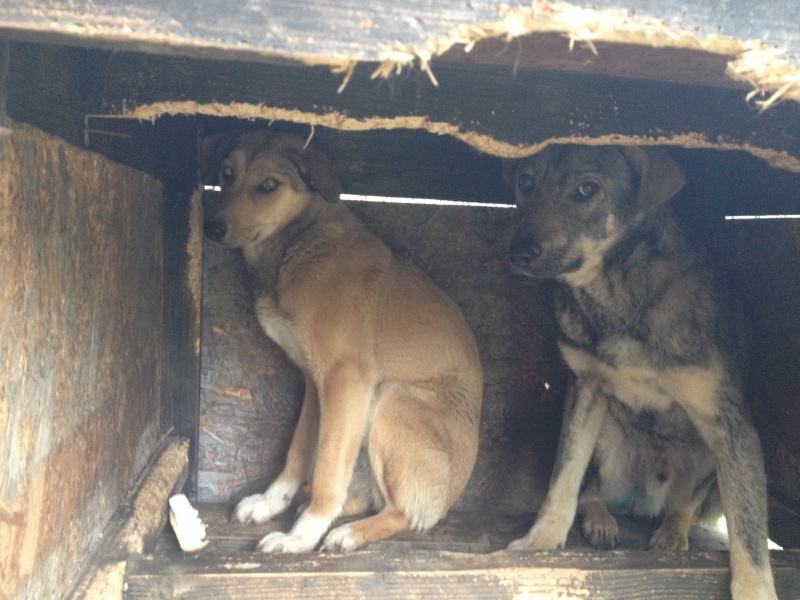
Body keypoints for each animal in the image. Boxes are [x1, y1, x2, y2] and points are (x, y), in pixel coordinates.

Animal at [203, 130, 484, 552]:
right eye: (226, 173)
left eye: (268, 185)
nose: (211, 227)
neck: (299, 243)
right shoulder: (315, 384)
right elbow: (300, 451)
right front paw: (272, 502)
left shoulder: (345, 380)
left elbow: (328, 469)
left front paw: (299, 537)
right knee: (365, 498)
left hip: (392, 398)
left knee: (405, 514)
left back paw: (348, 532)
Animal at [506, 145, 776, 600]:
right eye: (524, 182)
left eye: (587, 189)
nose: (518, 253)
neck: (615, 294)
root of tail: (643, 501)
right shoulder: (584, 390)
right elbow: (564, 476)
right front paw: (541, 541)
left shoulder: (731, 427)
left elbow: (749, 530)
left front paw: (755, 589)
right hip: (606, 434)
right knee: (591, 489)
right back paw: (601, 519)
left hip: (707, 457)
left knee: (684, 505)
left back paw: (672, 532)